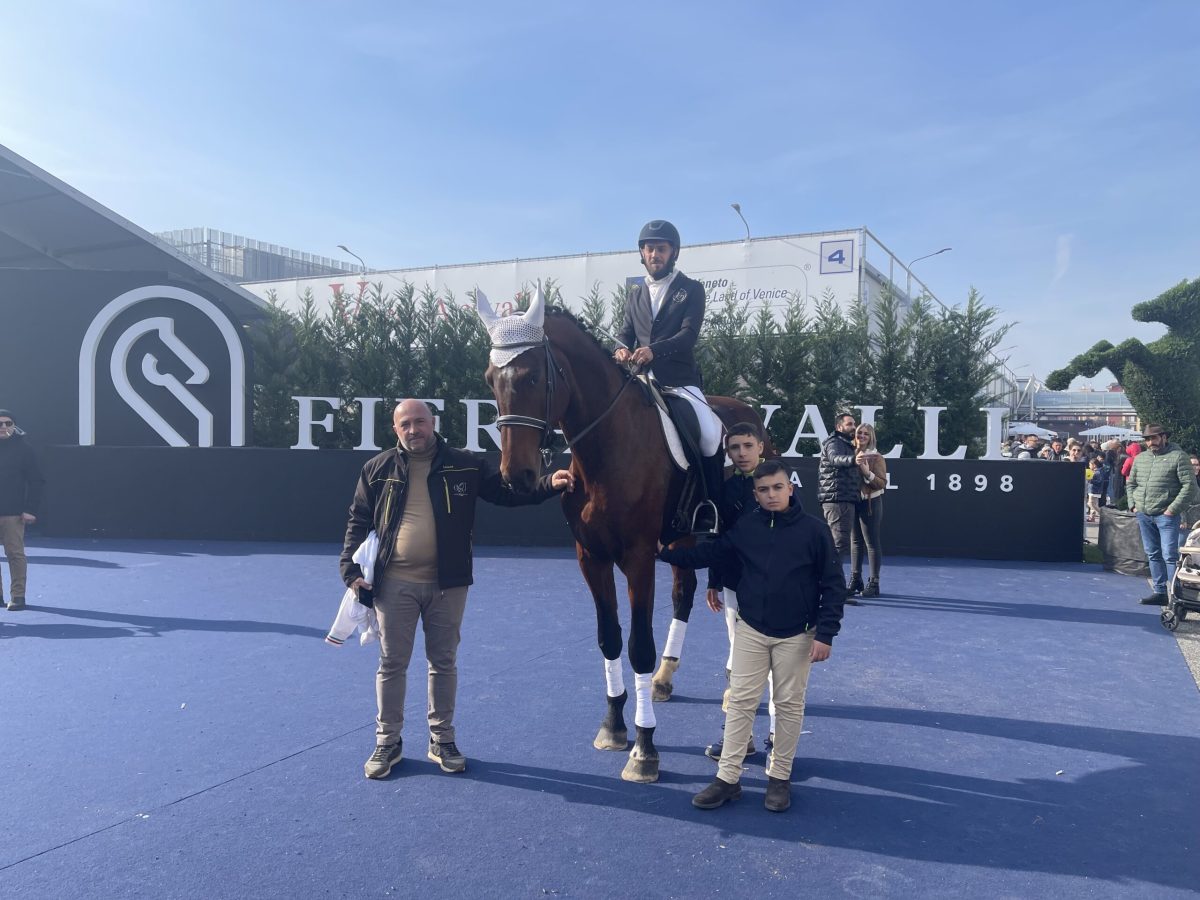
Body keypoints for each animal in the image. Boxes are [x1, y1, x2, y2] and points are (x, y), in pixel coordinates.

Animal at [477, 288, 775, 783]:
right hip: (681, 540)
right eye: (490, 380)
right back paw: (666, 679)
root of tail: (746, 409)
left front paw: (644, 748)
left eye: (535, 376)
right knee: (684, 594)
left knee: (734, 603)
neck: (607, 448)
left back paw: (735, 682)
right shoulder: (590, 556)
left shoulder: (637, 558)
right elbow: (610, 638)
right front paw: (614, 727)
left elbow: (638, 647)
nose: (517, 477)